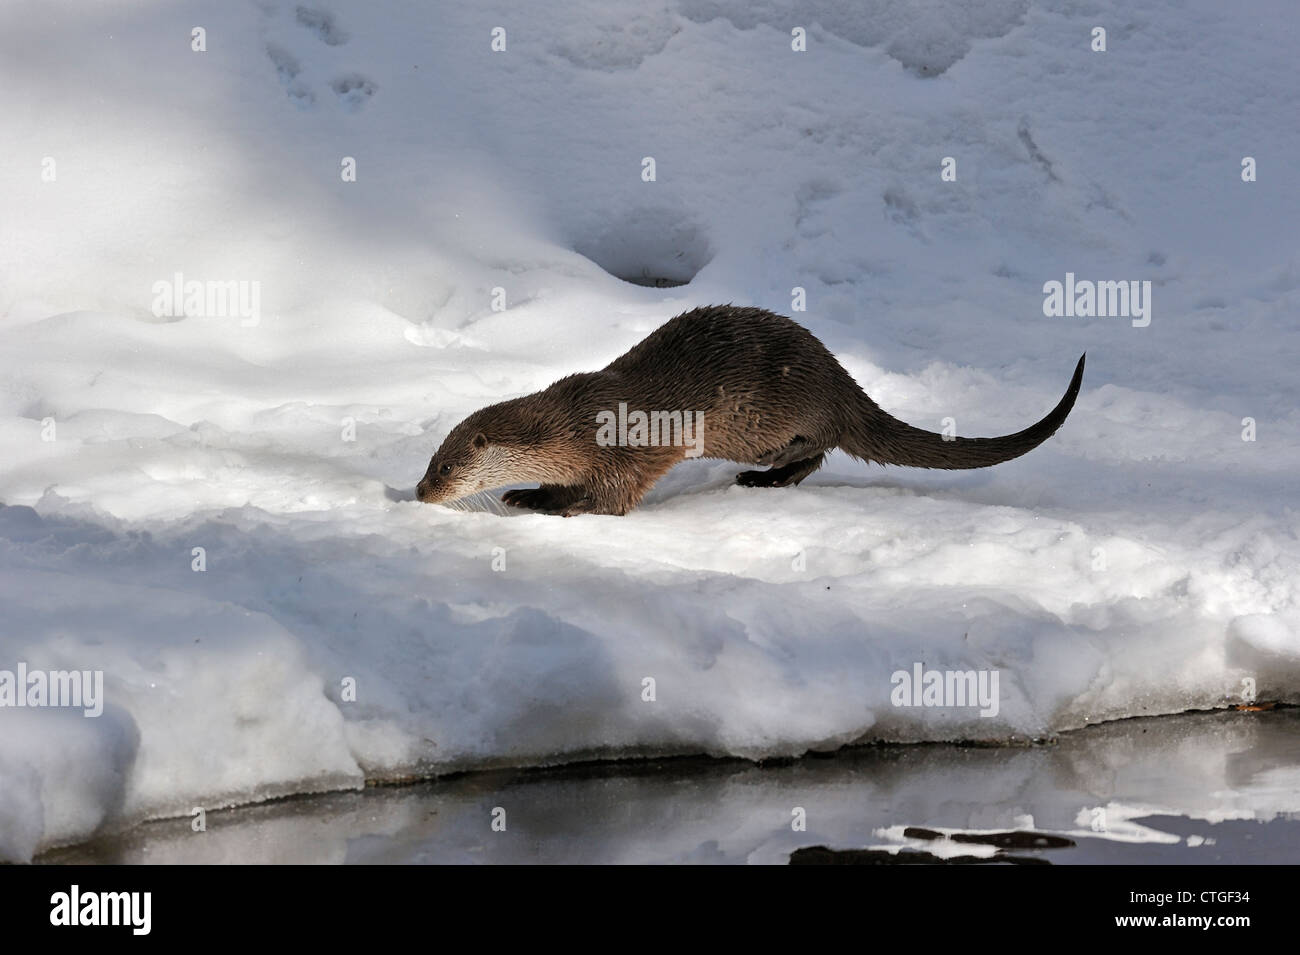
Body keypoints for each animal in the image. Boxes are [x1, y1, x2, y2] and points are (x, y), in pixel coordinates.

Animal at [418, 304, 1086, 514]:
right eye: (429, 462)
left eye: (447, 467)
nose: (422, 491)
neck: (572, 425)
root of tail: (838, 378)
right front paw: (526, 493)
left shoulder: (627, 452)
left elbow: (613, 498)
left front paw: (560, 508)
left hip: (773, 417)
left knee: (819, 447)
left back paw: (765, 479)